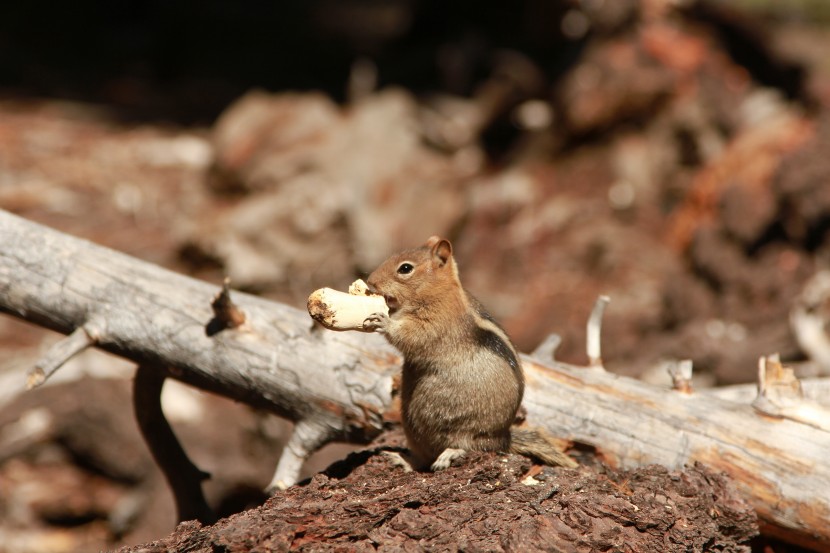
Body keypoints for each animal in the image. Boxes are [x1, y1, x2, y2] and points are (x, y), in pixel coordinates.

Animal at [368, 235, 576, 468]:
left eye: (405, 268)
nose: (370, 281)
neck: (440, 291)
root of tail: (502, 439)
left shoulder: (436, 322)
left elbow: (412, 335)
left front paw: (385, 322)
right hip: (409, 423)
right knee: (423, 457)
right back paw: (403, 460)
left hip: (465, 429)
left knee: (468, 445)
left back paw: (449, 454)